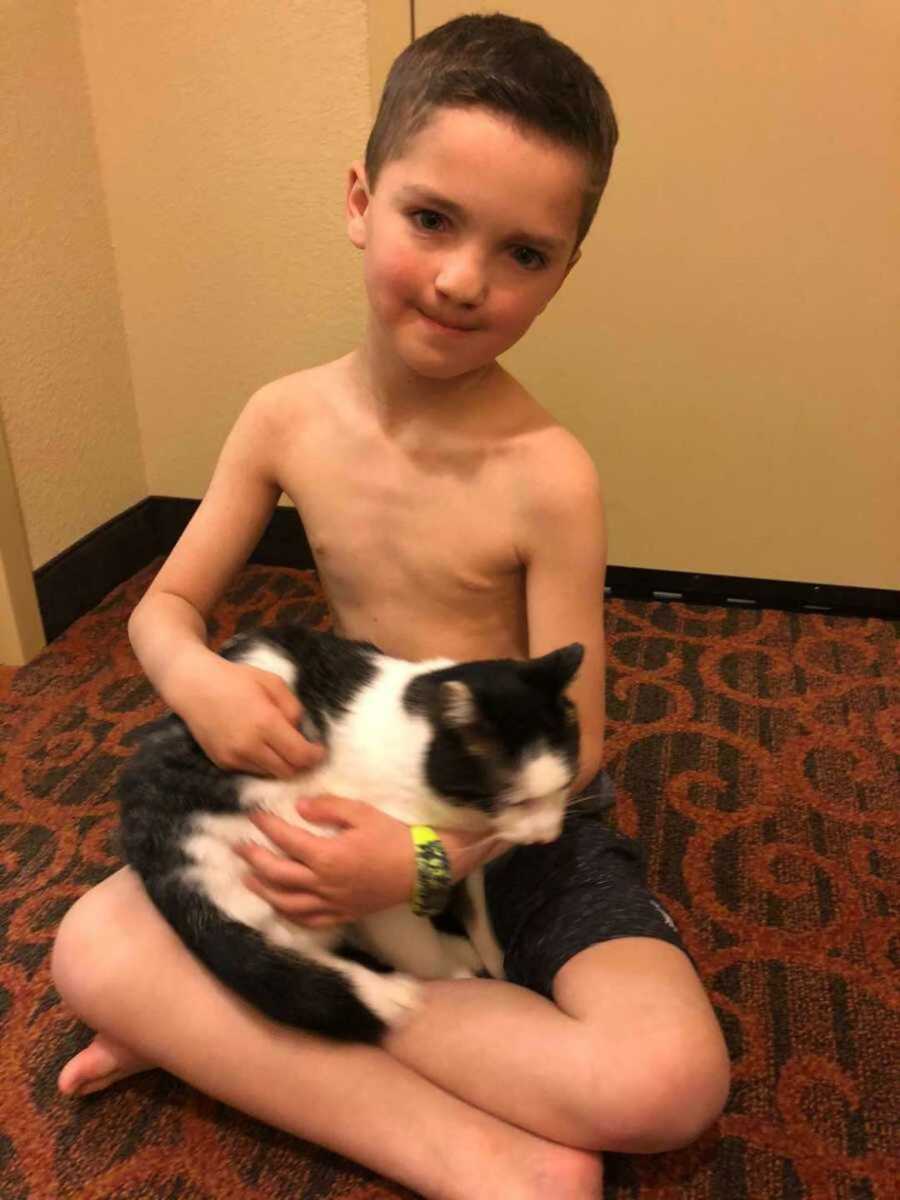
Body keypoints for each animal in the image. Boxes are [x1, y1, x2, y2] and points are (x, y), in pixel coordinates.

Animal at [118, 624, 585, 1046]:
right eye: (517, 800)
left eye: (564, 785)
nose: (547, 835)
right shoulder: (371, 871)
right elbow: (416, 948)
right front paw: (458, 977)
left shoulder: (465, 858)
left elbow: (479, 918)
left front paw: (497, 965)